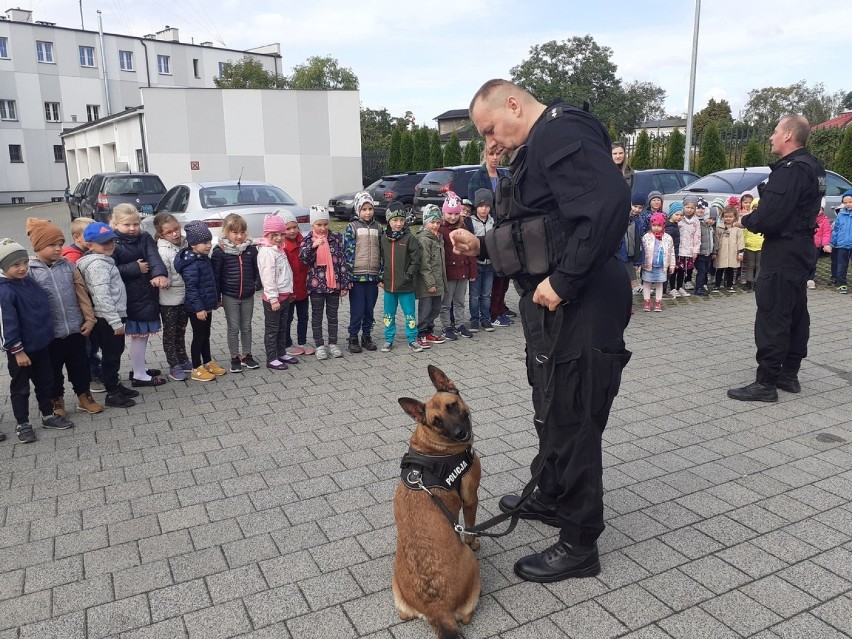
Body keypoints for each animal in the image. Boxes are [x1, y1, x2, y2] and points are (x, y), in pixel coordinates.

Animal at [392, 364, 480, 639]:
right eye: (436, 422)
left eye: (452, 406)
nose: (461, 434)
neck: (432, 446)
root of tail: (436, 608)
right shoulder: (470, 498)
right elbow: (471, 529)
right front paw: (475, 541)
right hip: (471, 566)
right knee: (466, 616)